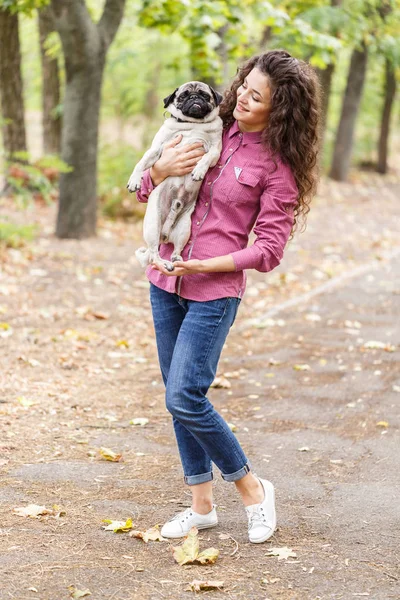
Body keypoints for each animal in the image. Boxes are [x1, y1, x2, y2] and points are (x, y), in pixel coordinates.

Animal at [126, 79, 223, 270]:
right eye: (183, 96)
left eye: (204, 95)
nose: (194, 98)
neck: (193, 123)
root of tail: (164, 234)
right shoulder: (156, 149)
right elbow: (141, 163)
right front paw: (134, 181)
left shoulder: (215, 150)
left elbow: (206, 158)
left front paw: (199, 171)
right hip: (153, 226)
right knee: (153, 254)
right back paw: (164, 263)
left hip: (184, 229)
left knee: (175, 250)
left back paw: (176, 260)